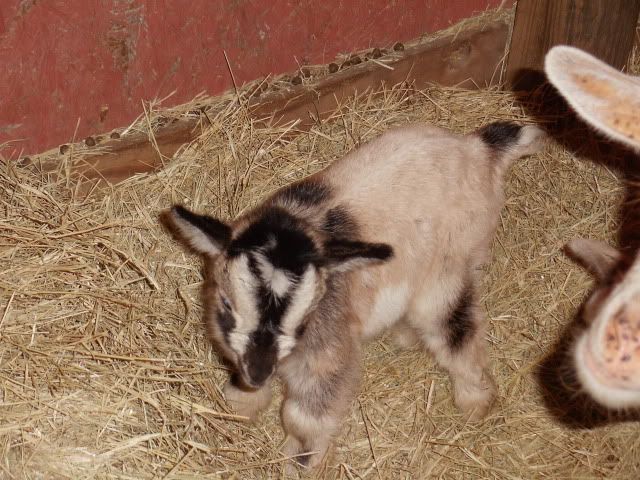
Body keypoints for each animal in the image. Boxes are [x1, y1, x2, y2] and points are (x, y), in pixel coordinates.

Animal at [161, 120, 544, 467]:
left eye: (305, 320)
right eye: (227, 304)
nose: (259, 372)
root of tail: (478, 149)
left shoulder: (329, 356)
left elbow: (306, 417)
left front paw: (299, 463)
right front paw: (241, 404)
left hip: (447, 268)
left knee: (456, 329)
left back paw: (475, 401)